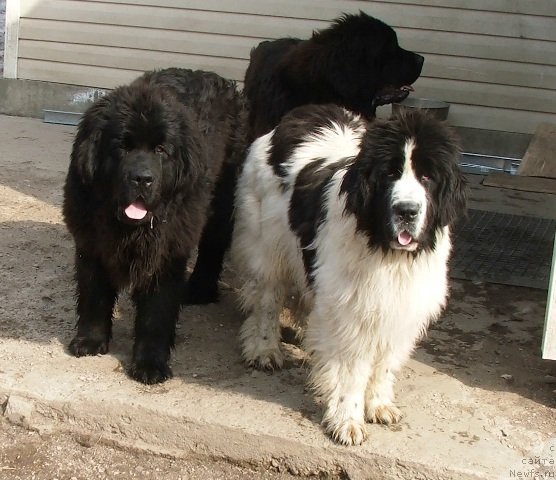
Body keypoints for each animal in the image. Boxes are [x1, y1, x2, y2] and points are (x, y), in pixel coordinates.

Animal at [62, 67, 245, 384]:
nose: (142, 178)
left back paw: (199, 290)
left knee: (213, 245)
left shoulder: (166, 256)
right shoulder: (91, 245)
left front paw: (150, 364)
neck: (130, 229)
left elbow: (156, 313)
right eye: (122, 147)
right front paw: (90, 341)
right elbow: (94, 295)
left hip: (221, 202)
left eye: (161, 149)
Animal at [232, 105, 466, 446]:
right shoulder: (351, 310)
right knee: (267, 299)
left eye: (427, 177)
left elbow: (385, 362)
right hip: (266, 245)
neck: (384, 250)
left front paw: (379, 404)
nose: (407, 211)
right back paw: (265, 348)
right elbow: (351, 370)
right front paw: (347, 420)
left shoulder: (401, 305)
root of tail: (301, 114)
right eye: (389, 174)